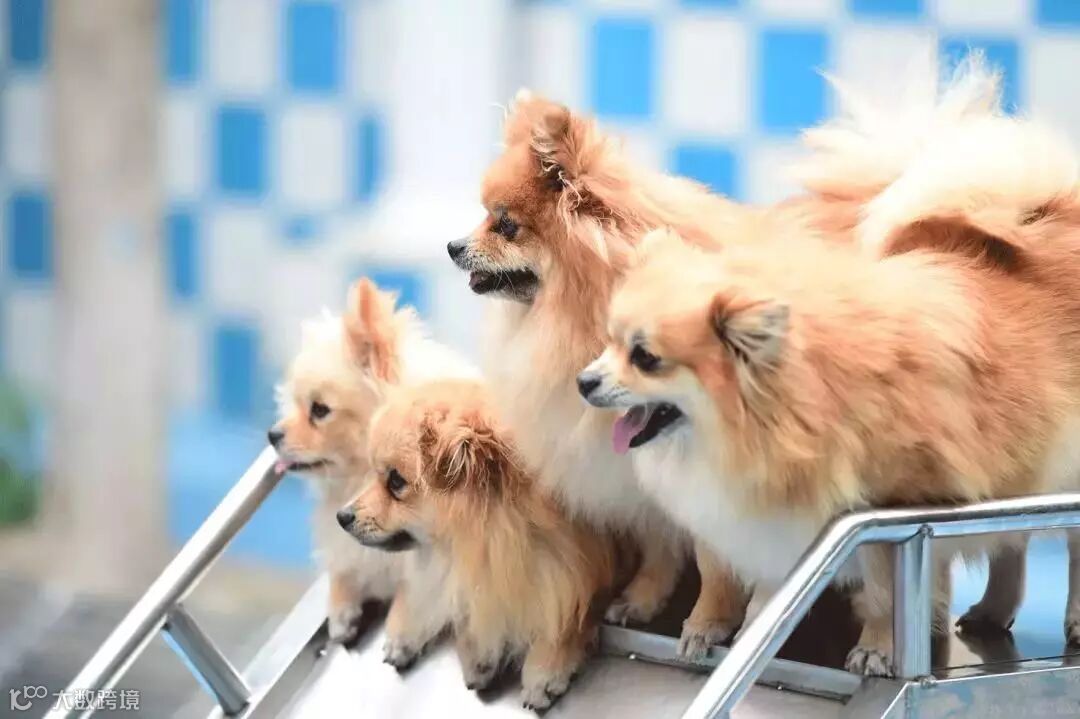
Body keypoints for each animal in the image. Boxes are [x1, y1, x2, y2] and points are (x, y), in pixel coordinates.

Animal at [270, 278, 477, 666]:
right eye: (294, 404)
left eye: (319, 410)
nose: (272, 434)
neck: (359, 480)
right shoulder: (349, 544)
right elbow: (343, 569)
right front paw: (341, 613)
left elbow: (417, 593)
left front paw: (401, 633)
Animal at [338, 379, 616, 711]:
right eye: (376, 475)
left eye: (395, 482)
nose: (342, 516)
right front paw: (477, 649)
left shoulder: (589, 563)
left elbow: (571, 613)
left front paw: (545, 668)